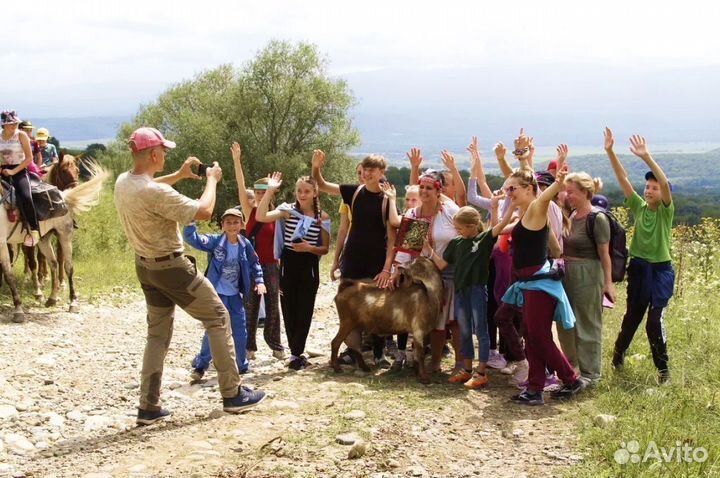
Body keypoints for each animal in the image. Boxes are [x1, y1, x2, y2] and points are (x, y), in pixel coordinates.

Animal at [0, 162, 108, 324]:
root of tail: (64, 196)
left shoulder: (2, 244)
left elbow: (9, 275)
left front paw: (18, 310)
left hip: (65, 236)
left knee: (68, 267)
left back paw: (73, 302)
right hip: (43, 240)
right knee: (54, 263)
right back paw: (52, 298)